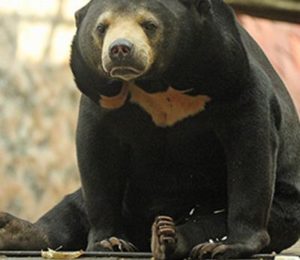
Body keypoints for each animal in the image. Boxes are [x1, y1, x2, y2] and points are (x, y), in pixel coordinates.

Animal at [0, 0, 300, 258]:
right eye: (102, 27)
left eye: (149, 25)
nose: (120, 49)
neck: (156, 82)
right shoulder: (99, 93)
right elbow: (97, 156)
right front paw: (109, 242)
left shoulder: (228, 69)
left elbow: (250, 142)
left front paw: (233, 245)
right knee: (74, 206)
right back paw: (13, 230)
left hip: (285, 207)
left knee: (214, 221)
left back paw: (170, 238)